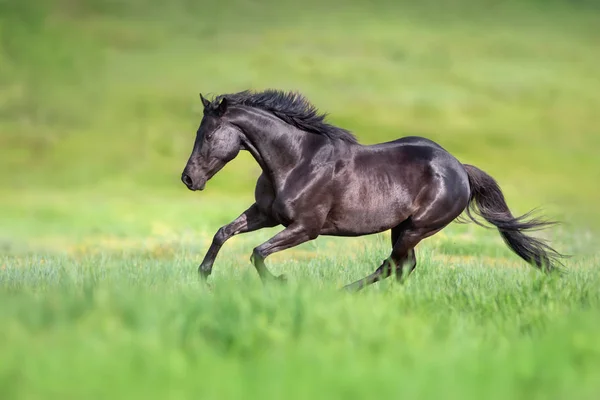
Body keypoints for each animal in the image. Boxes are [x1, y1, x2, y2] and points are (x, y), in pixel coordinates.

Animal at [180, 89, 564, 290]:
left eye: (209, 136)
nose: (188, 180)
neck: (297, 161)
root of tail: (460, 169)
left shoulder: (306, 228)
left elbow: (258, 252)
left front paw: (280, 282)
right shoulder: (265, 214)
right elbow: (223, 232)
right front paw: (203, 276)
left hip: (417, 227)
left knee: (393, 265)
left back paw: (344, 291)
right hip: (402, 227)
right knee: (403, 266)